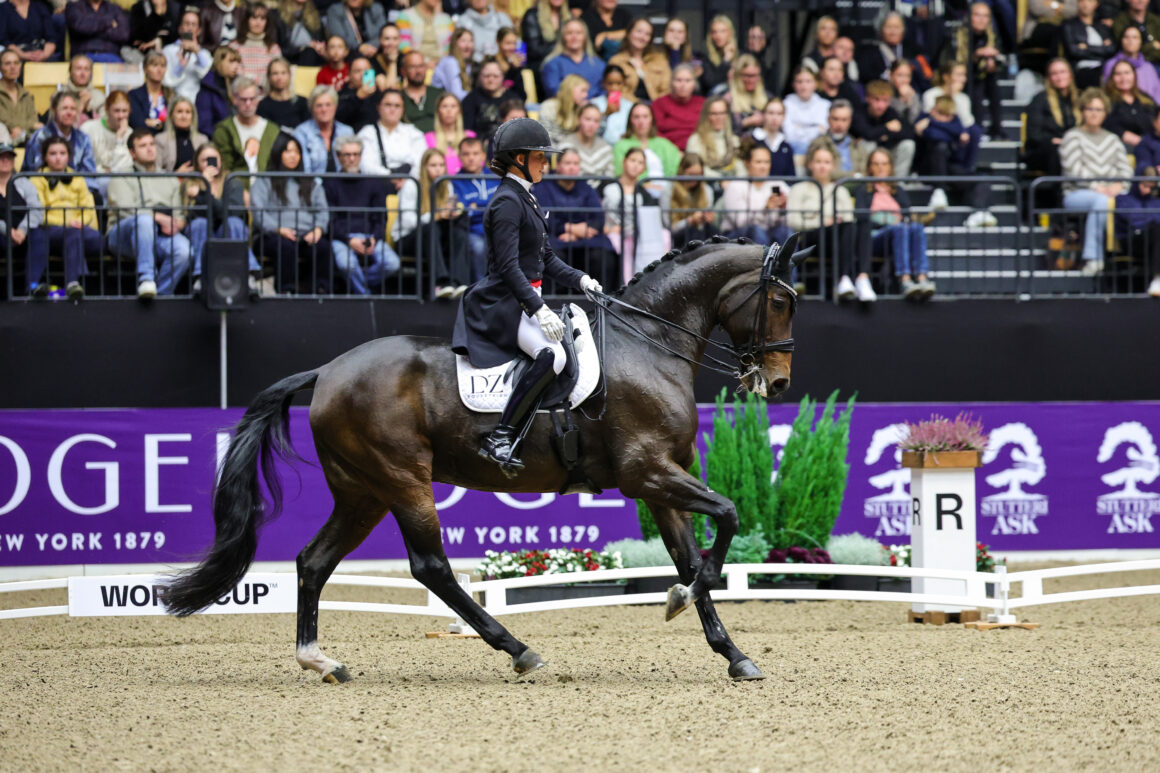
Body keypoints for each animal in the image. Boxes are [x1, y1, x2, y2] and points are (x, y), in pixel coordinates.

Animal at [163, 232, 812, 677]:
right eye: (781, 301)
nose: (779, 382)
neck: (648, 346)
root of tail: (326, 370)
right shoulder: (647, 472)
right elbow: (726, 518)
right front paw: (684, 602)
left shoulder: (662, 480)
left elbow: (688, 555)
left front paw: (731, 651)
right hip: (402, 480)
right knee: (431, 567)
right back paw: (518, 650)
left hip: (362, 491)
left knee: (313, 561)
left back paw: (320, 661)